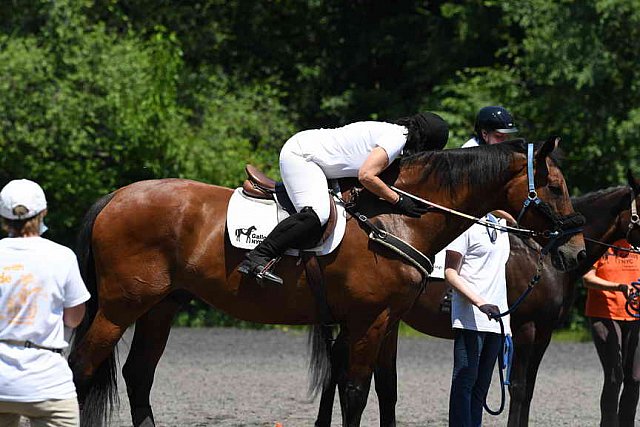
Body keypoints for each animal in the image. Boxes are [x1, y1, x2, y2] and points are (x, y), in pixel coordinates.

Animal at [67, 139, 584, 426]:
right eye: (556, 187)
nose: (576, 252)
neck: (396, 216)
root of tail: (116, 196)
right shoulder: (366, 322)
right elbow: (355, 393)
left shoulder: (388, 322)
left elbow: (387, 391)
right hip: (120, 308)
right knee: (80, 369)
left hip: (161, 307)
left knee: (138, 376)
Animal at [312, 171, 636, 427]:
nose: (575, 253)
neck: (538, 257)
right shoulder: (525, 329)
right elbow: (518, 387)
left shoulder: (543, 333)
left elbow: (529, 389)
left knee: (336, 363)